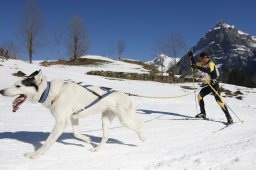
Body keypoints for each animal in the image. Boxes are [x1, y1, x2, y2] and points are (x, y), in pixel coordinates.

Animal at [0, 69, 144, 159]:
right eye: (14, 84)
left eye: (18, 86)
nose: (1, 91)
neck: (51, 92)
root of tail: (126, 95)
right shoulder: (73, 117)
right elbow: (76, 134)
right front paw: (86, 139)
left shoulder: (60, 122)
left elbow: (47, 142)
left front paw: (34, 155)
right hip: (105, 120)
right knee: (106, 137)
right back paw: (96, 149)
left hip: (124, 120)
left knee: (138, 125)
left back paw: (142, 137)